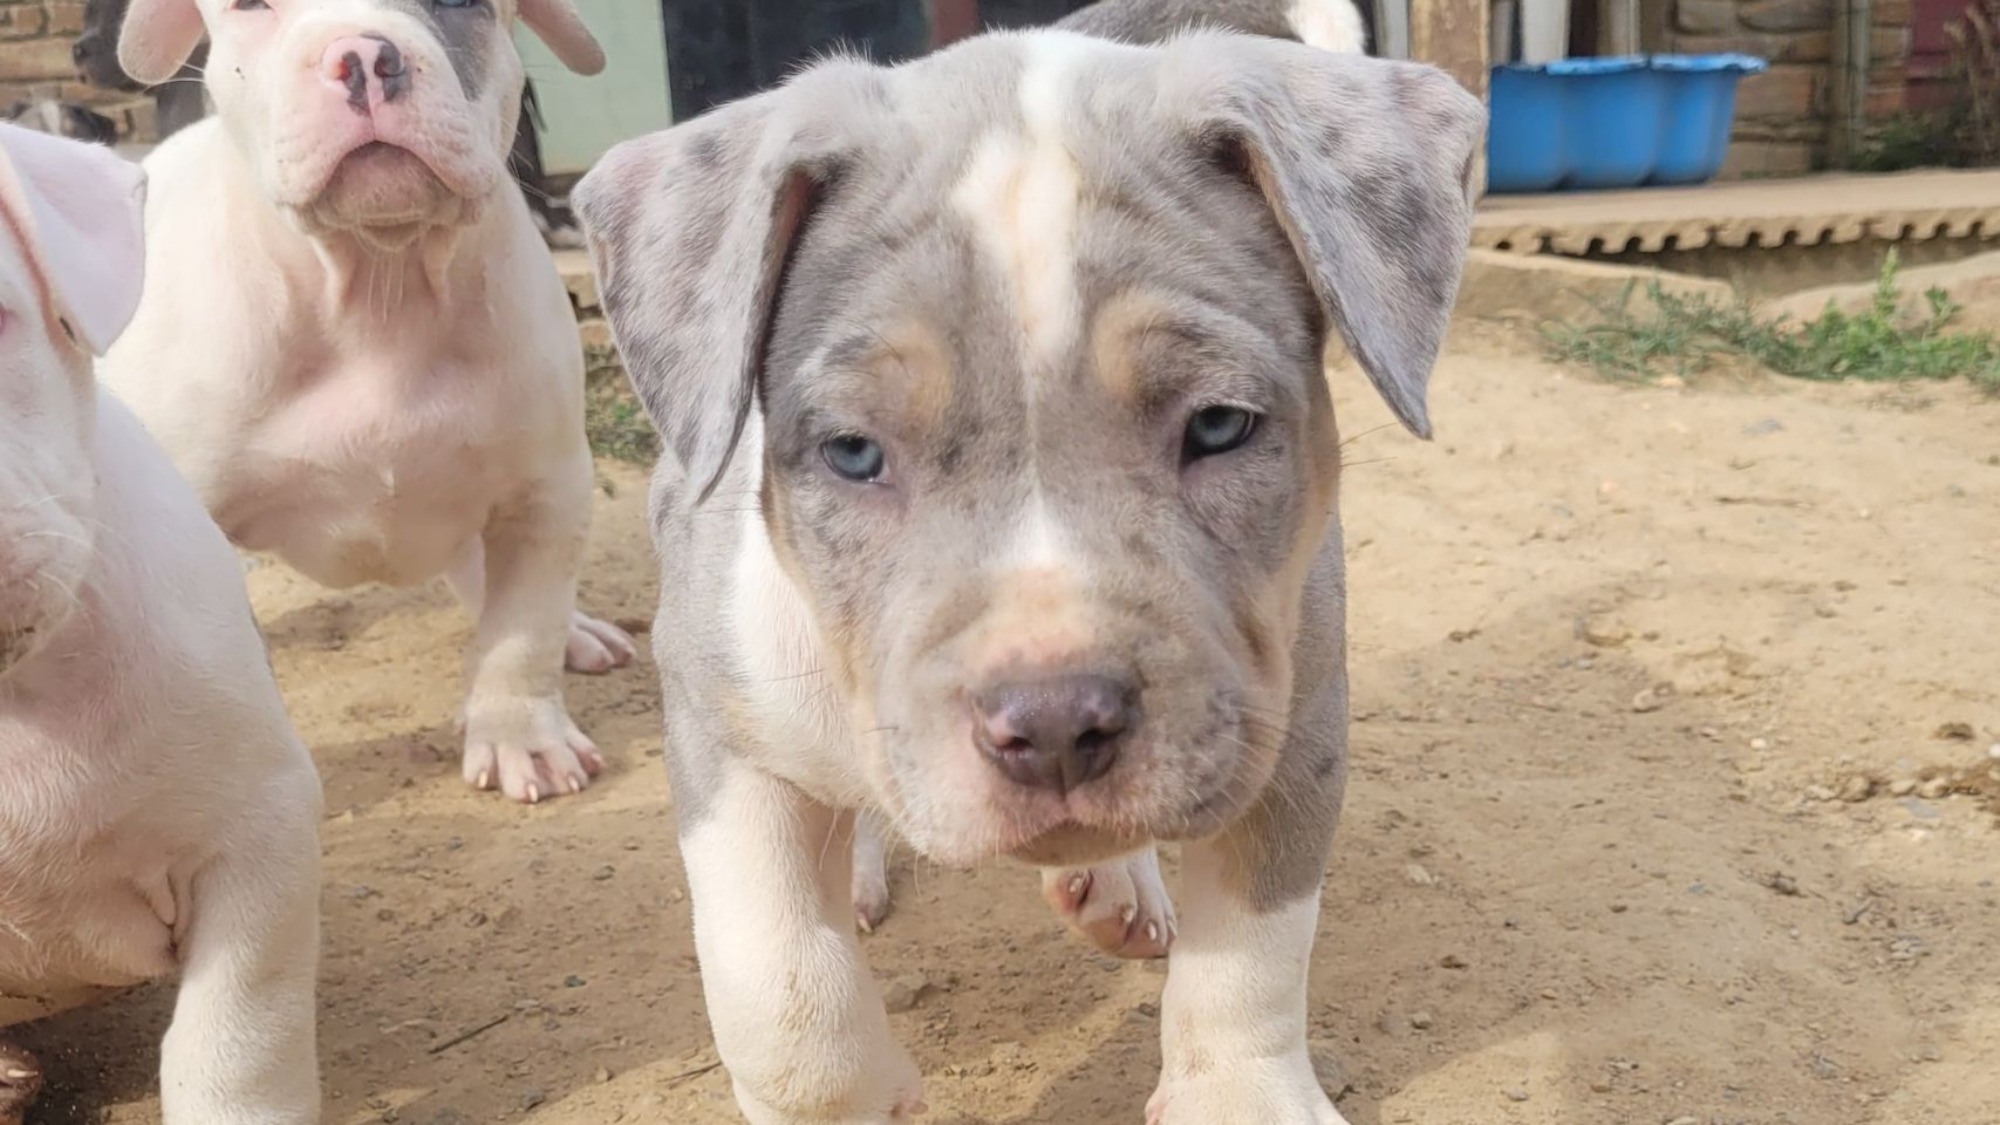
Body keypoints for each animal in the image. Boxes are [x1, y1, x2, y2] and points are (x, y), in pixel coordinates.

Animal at [97, 0, 632, 800]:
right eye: (250, 6)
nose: (363, 58)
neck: (381, 281)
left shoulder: (549, 486)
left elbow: (522, 627)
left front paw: (522, 735)